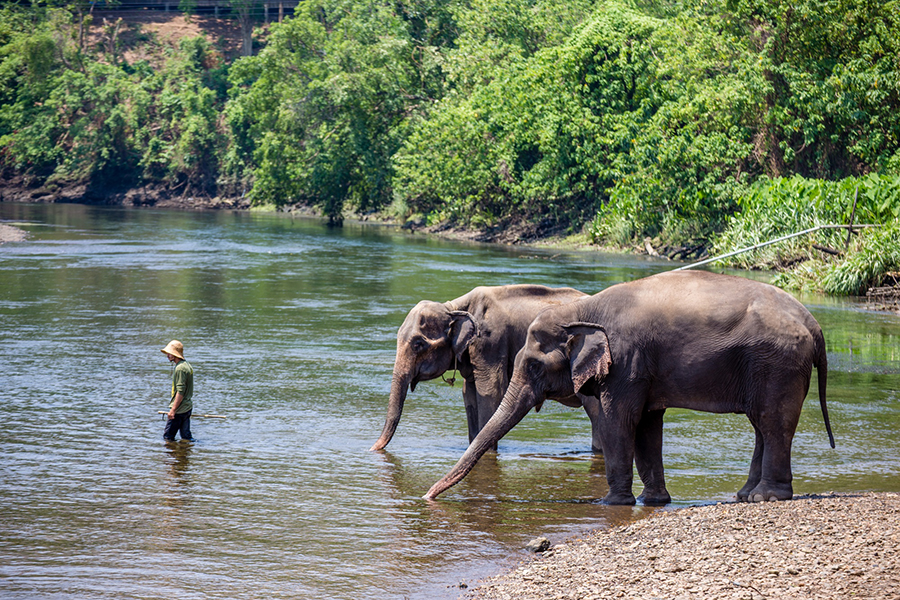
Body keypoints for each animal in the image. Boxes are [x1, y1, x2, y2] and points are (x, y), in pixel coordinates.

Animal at [370, 284, 600, 450]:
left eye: (418, 344)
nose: (372, 449)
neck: (454, 307)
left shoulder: (490, 342)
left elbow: (490, 391)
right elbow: (469, 393)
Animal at [426, 272, 840, 506]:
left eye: (533, 365)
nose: (427, 497)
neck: (583, 310)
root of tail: (815, 324)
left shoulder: (626, 361)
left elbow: (619, 422)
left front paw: (612, 504)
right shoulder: (643, 368)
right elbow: (647, 425)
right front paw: (652, 501)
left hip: (778, 363)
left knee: (772, 422)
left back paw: (766, 497)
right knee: (760, 426)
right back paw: (745, 496)